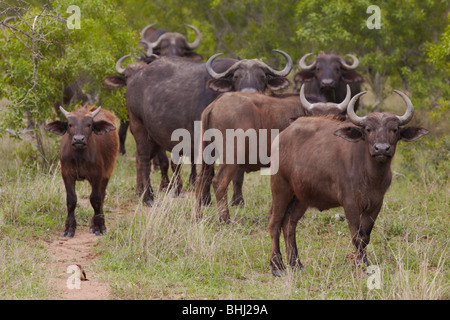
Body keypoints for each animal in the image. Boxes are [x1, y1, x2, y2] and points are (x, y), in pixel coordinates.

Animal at [44, 105, 119, 238]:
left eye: (89, 124)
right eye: (70, 124)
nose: (79, 139)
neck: (79, 156)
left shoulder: (97, 175)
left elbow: (95, 199)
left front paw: (98, 227)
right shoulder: (66, 174)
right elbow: (71, 200)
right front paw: (69, 228)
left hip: (107, 173)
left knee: (101, 195)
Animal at [126, 50, 294, 205]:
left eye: (262, 76)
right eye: (236, 76)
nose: (249, 93)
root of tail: (134, 80)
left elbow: (238, 176)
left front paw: (238, 200)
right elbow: (208, 174)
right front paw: (206, 200)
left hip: (154, 137)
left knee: (141, 160)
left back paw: (140, 191)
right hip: (138, 126)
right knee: (143, 159)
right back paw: (148, 197)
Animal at [195, 84, 354, 222]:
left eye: (335, 117)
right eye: (313, 116)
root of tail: (215, 105)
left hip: (207, 154)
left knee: (201, 179)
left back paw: (198, 215)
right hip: (231, 157)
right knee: (219, 181)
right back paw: (225, 218)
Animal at [268, 89, 428, 276]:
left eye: (394, 129)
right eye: (368, 129)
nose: (381, 149)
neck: (370, 175)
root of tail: (281, 136)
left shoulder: (376, 204)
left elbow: (365, 236)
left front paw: (364, 263)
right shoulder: (350, 204)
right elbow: (357, 236)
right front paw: (361, 265)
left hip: (301, 197)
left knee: (289, 224)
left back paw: (296, 264)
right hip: (280, 188)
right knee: (274, 222)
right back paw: (277, 266)